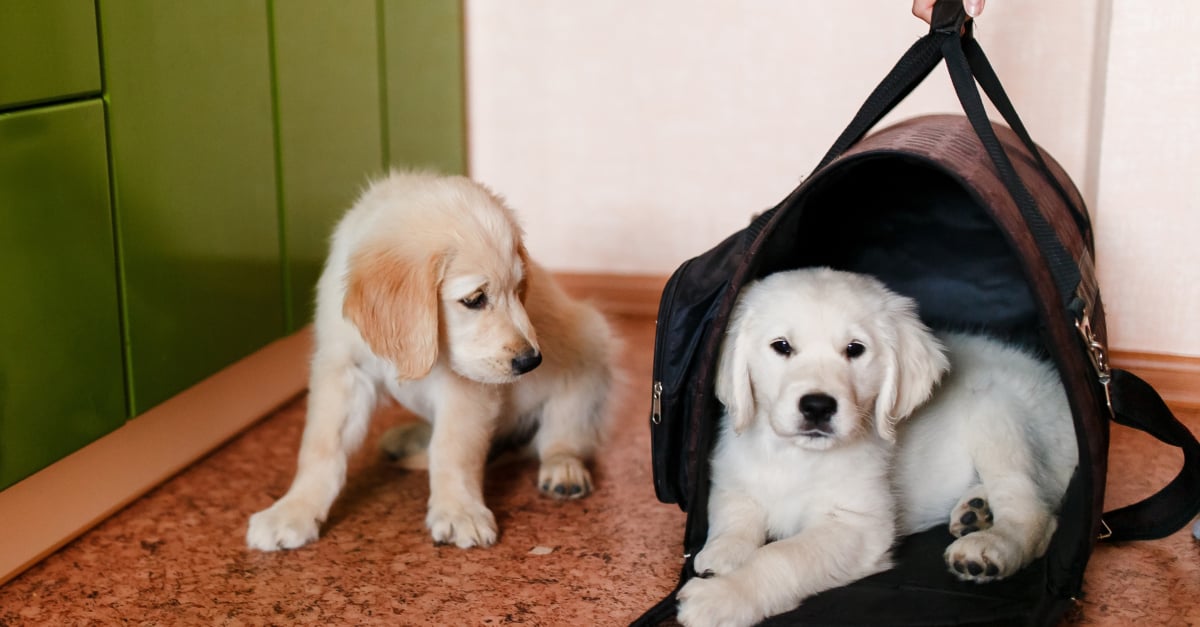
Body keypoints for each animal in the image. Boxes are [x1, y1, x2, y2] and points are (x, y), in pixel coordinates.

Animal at [247, 169, 614, 547]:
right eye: (474, 299)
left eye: (518, 290)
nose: (531, 362)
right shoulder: (343, 369)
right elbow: (321, 446)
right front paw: (293, 510)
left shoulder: (466, 386)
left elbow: (453, 447)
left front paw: (459, 512)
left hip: (590, 352)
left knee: (563, 435)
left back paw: (564, 468)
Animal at [676, 266, 1080, 624]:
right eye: (782, 346)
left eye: (855, 349)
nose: (818, 407)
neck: (797, 456)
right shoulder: (733, 476)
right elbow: (735, 514)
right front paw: (725, 552)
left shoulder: (856, 524)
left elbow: (782, 557)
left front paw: (724, 596)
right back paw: (976, 511)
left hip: (998, 414)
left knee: (1035, 510)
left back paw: (990, 547)